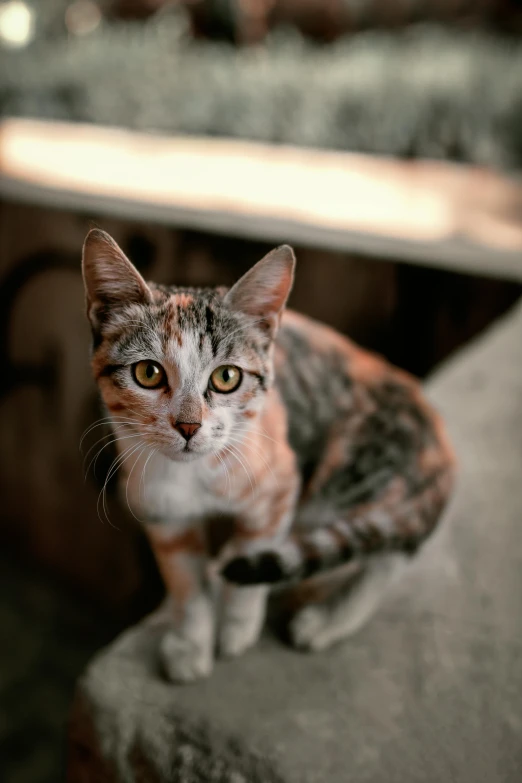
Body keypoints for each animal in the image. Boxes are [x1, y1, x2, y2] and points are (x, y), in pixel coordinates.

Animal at [83, 230, 452, 684]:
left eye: (226, 377)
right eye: (148, 373)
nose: (188, 426)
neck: (194, 477)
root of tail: (438, 437)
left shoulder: (281, 484)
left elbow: (253, 555)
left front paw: (237, 629)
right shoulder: (160, 509)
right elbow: (185, 581)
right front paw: (192, 642)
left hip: (351, 470)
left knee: (389, 550)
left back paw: (328, 620)